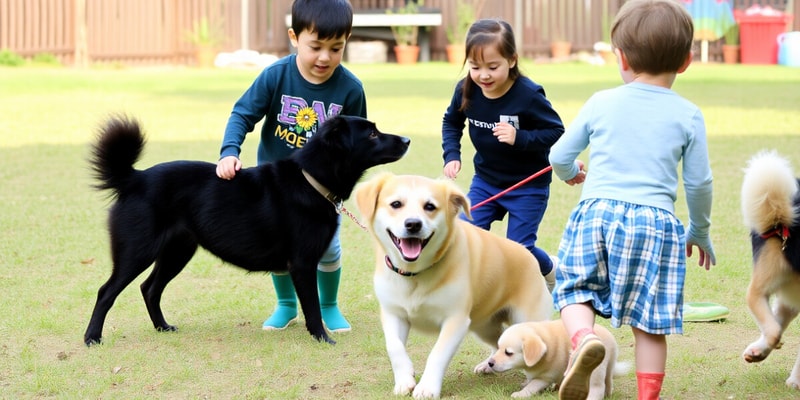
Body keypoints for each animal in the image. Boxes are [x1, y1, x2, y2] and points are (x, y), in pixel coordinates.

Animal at [86, 114, 410, 346]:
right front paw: (321, 338)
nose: (407, 139)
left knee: (150, 288)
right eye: (372, 134)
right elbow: (312, 307)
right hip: (137, 252)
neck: (310, 180)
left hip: (177, 252)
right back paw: (92, 338)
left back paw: (162, 327)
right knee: (106, 291)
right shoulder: (302, 263)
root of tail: (135, 178)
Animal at [354, 174, 552, 400]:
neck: (414, 274)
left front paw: (427, 387)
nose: (413, 224)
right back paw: (490, 364)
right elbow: (394, 347)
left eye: (430, 206)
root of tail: (528, 256)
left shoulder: (455, 320)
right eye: (396, 204)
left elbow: (437, 354)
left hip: (527, 321)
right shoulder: (393, 314)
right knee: (499, 342)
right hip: (484, 326)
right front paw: (405, 379)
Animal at [488, 320, 620, 398]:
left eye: (508, 353)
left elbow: (532, 385)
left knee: (597, 388)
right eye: (498, 348)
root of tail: (611, 339)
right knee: (608, 381)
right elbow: (530, 381)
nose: (490, 363)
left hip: (595, 371)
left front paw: (521, 394)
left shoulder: (545, 377)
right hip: (609, 365)